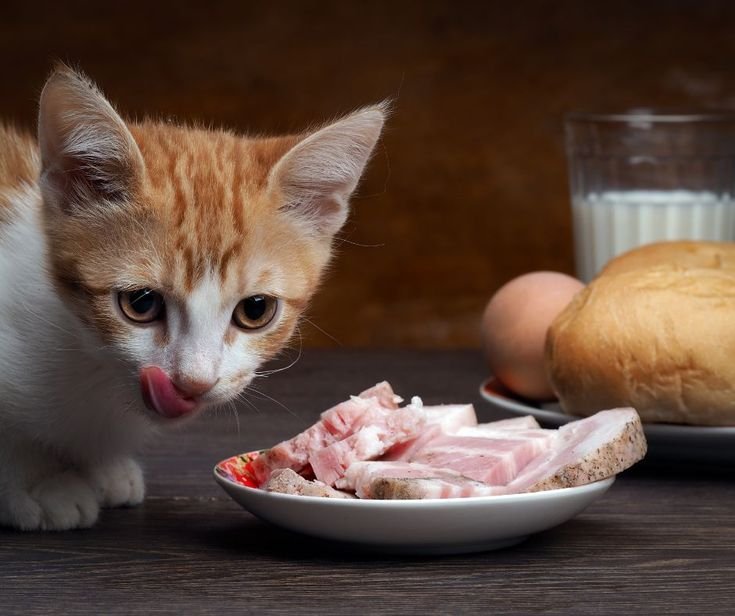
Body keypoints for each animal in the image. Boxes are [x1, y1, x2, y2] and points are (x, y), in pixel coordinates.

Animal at [0, 66, 388, 528]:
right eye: (141, 303)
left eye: (255, 310)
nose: (194, 382)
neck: (88, 365)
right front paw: (37, 482)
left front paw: (102, 470)